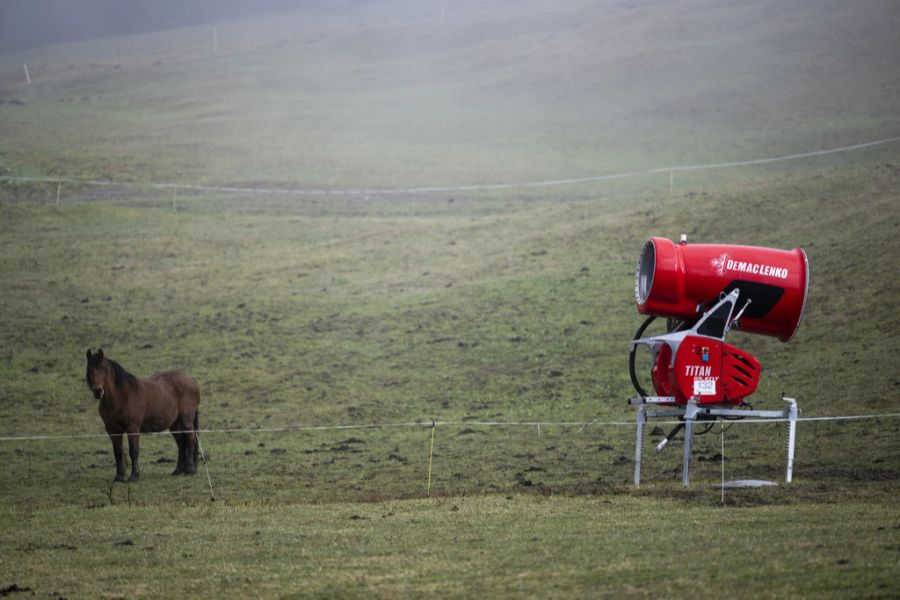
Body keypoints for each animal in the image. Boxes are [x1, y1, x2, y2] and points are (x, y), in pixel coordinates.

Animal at [85, 350, 202, 480]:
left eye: (103, 368)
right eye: (89, 368)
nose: (98, 391)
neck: (121, 396)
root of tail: (191, 381)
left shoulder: (133, 427)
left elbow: (134, 451)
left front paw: (134, 475)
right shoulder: (112, 429)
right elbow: (118, 453)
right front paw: (119, 476)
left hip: (186, 421)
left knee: (191, 439)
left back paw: (190, 469)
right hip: (174, 424)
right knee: (181, 443)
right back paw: (178, 470)